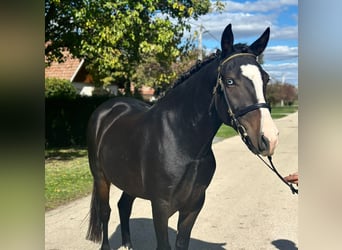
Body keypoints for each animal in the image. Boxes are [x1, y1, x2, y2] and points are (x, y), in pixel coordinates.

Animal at [85, 23, 278, 250]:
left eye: (265, 79)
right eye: (230, 81)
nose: (269, 138)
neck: (183, 142)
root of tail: (107, 109)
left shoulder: (193, 207)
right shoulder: (160, 207)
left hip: (128, 181)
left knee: (124, 206)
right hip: (101, 177)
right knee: (105, 212)